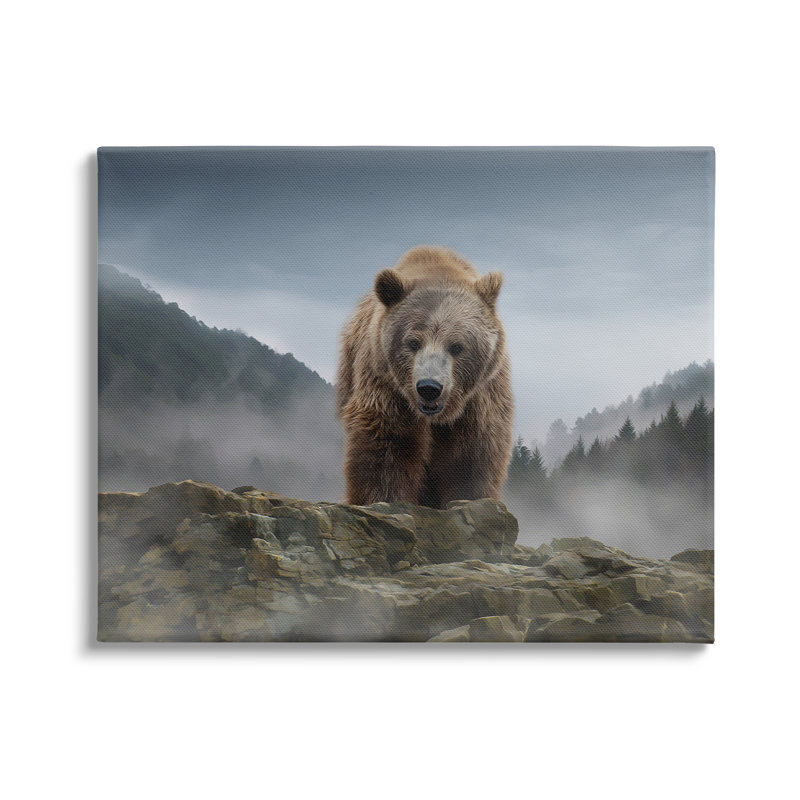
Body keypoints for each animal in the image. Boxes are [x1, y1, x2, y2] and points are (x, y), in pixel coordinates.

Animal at [336, 246, 513, 508]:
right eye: (413, 342)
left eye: (457, 346)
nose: (429, 387)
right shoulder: (386, 385)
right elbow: (388, 446)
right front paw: (386, 499)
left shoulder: (481, 397)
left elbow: (472, 456)